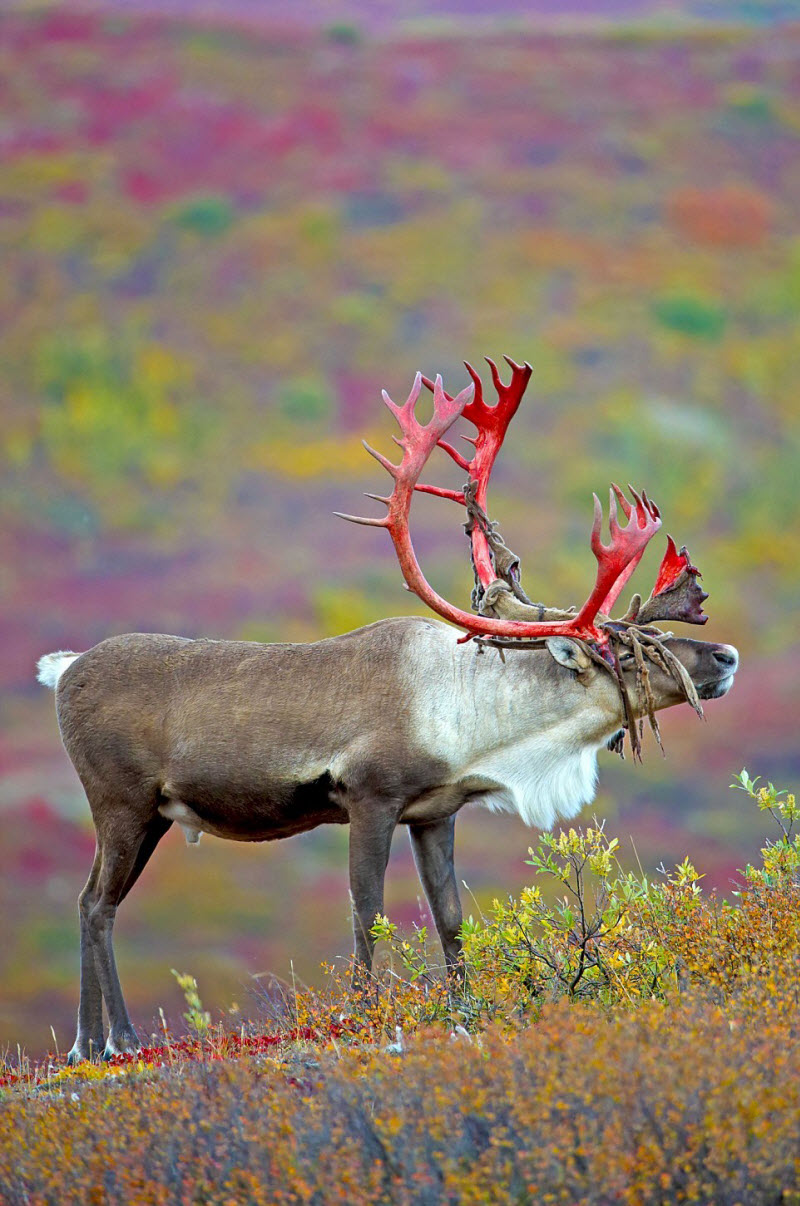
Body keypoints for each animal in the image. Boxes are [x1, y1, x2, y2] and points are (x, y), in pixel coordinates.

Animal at [38, 357, 738, 1063]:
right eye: (626, 652)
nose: (728, 656)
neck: (475, 721)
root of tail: (63, 670)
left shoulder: (434, 813)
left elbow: (450, 918)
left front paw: (464, 1010)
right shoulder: (369, 799)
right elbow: (366, 910)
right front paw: (364, 1014)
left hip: (151, 815)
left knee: (88, 901)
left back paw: (88, 1043)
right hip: (120, 803)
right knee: (96, 902)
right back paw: (116, 1041)